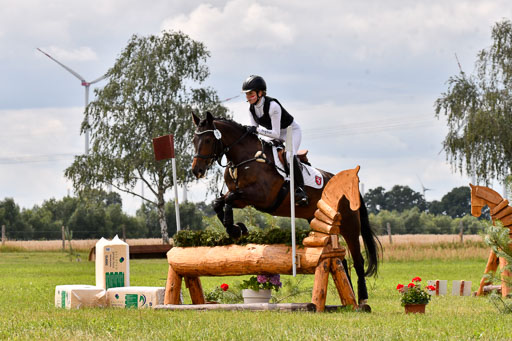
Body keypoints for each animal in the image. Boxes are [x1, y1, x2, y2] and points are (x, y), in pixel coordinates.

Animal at [191, 112, 380, 306]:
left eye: (207, 140)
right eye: (193, 140)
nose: (196, 170)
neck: (245, 159)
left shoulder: (261, 196)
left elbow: (228, 200)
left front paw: (235, 228)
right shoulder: (242, 198)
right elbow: (218, 202)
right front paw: (236, 229)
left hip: (350, 225)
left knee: (358, 260)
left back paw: (362, 299)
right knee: (340, 259)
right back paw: (349, 299)